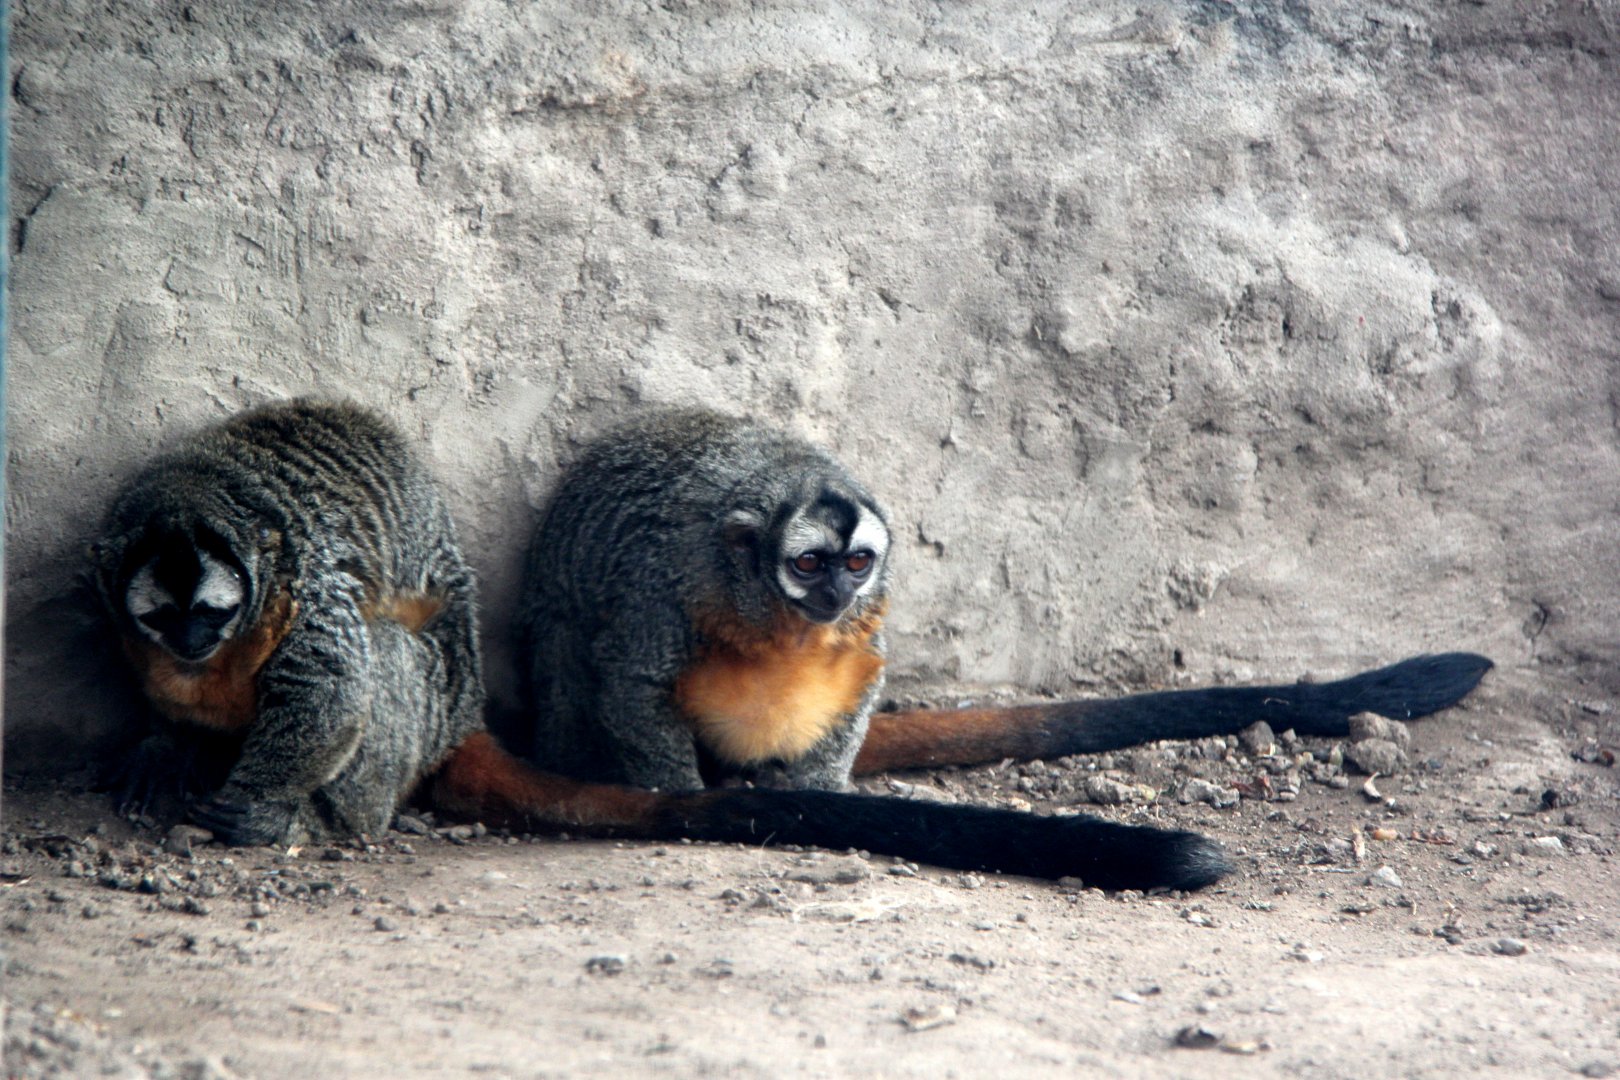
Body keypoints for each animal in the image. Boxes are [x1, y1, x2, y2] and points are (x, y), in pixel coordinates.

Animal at [512, 407, 1492, 814]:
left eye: (857, 563)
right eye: (809, 564)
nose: (834, 595)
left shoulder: (872, 607)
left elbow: (863, 673)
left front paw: (816, 790)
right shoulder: (671, 581)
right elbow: (632, 681)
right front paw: (678, 795)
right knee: (567, 652)